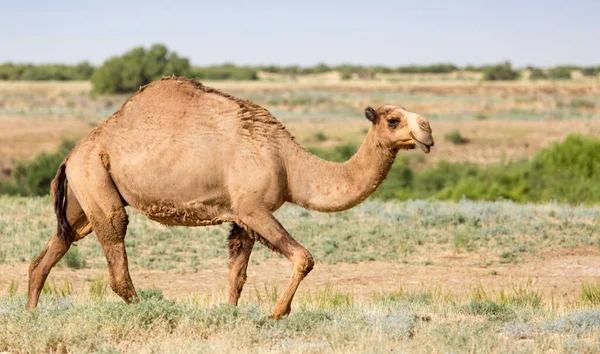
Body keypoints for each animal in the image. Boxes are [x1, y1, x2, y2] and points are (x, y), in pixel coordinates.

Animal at [25, 76, 434, 318]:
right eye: (393, 120)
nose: (428, 131)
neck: (287, 161)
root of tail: (72, 153)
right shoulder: (254, 209)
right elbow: (304, 258)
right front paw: (276, 314)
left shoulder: (241, 217)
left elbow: (237, 276)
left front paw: (234, 316)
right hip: (96, 179)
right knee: (116, 255)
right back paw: (154, 313)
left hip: (83, 195)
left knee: (51, 251)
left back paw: (30, 314)